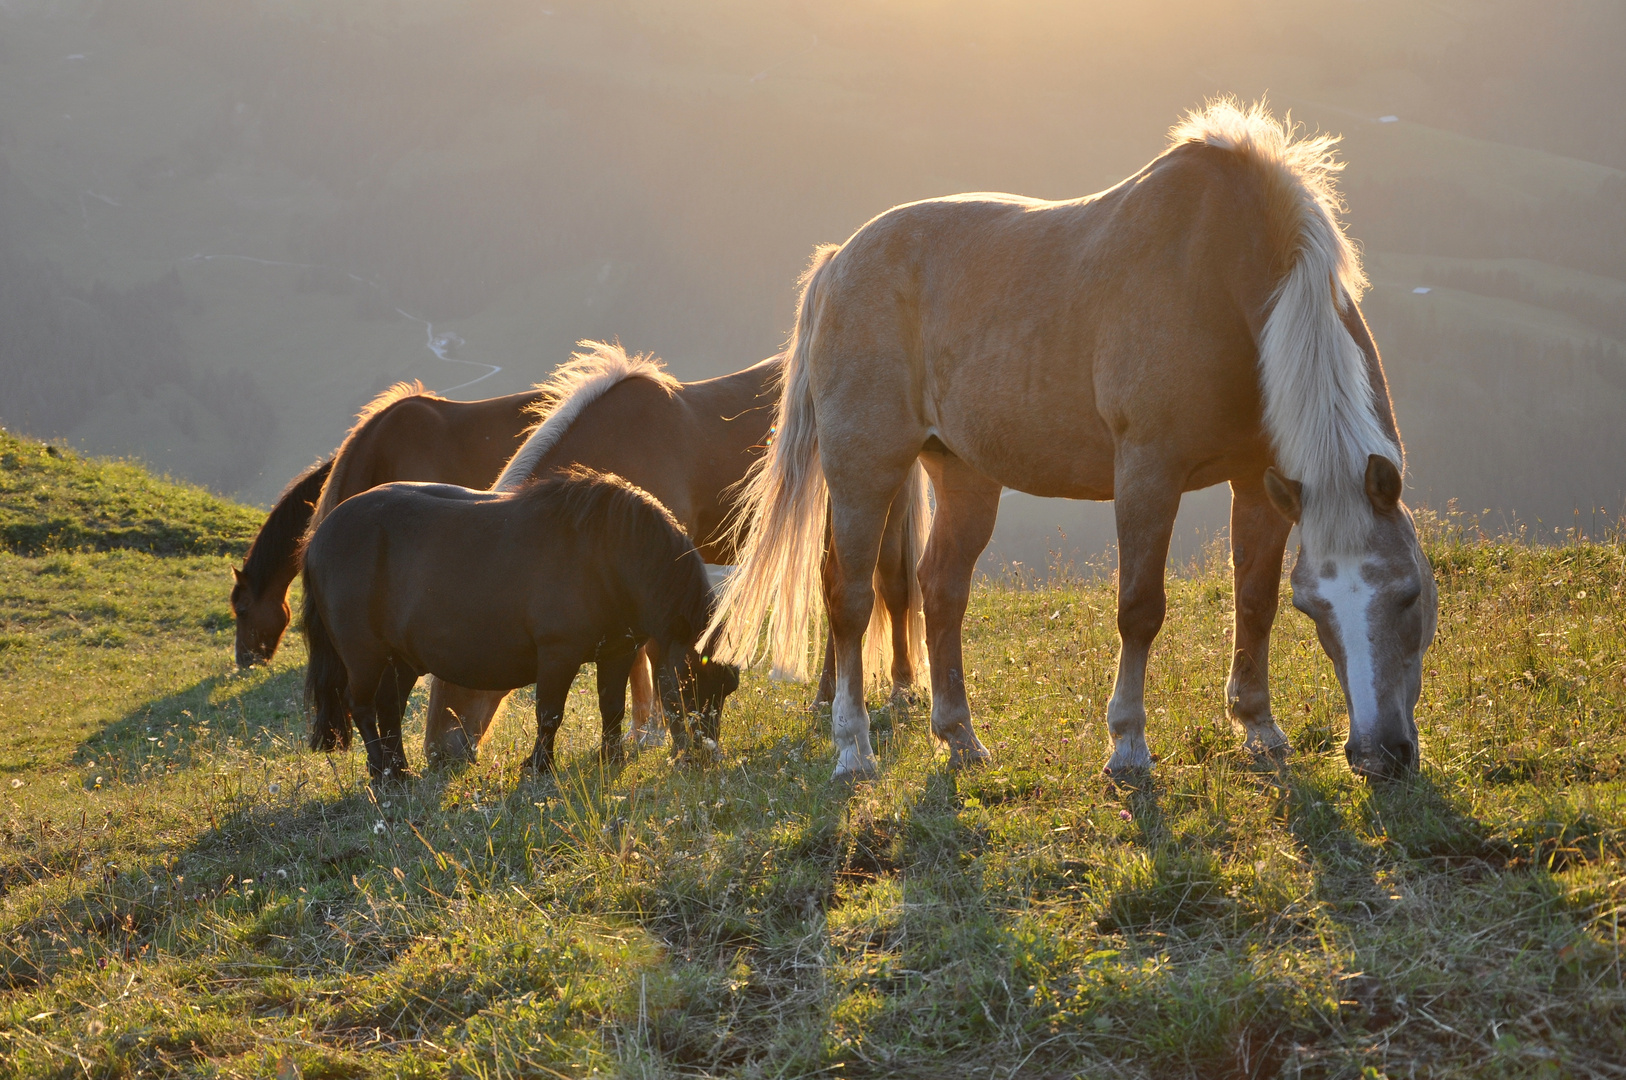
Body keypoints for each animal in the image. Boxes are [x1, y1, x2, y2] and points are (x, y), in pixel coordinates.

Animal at [304, 471, 731, 777]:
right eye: (688, 681)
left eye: (728, 687)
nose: (705, 757)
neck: (608, 554)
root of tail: (321, 536)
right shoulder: (558, 653)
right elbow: (550, 713)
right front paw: (539, 765)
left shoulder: (619, 651)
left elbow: (611, 707)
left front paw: (611, 758)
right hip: (364, 655)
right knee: (360, 706)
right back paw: (381, 772)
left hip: (401, 659)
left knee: (388, 706)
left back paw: (400, 770)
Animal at [419, 341, 930, 764]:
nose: (439, 752)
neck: (620, 442)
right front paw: (644, 730)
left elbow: (649, 651)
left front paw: (661, 730)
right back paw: (825, 699)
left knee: (893, 593)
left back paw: (901, 692)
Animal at [712, 101, 1437, 780]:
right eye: (1316, 608)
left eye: (1410, 593)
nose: (1380, 755)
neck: (1222, 279)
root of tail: (838, 262)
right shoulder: (1148, 473)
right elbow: (1140, 607)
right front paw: (1128, 745)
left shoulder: (1261, 481)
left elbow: (1252, 598)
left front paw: (1258, 725)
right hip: (865, 468)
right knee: (851, 597)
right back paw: (853, 748)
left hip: (963, 472)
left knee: (941, 587)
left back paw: (960, 737)